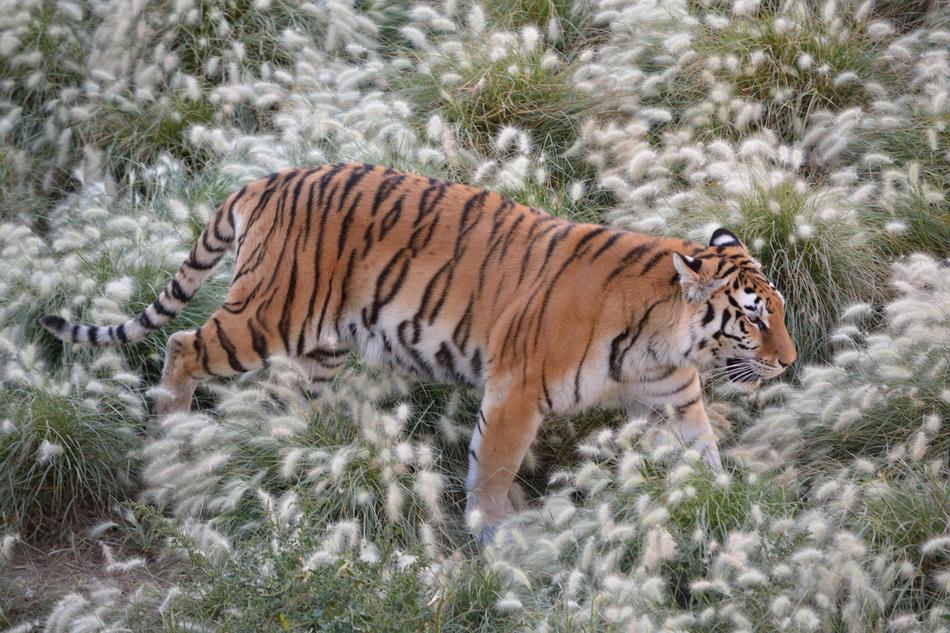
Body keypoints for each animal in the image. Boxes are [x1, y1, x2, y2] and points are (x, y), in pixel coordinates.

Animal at [40, 162, 796, 535]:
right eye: (754, 317)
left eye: (781, 310)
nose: (790, 362)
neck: (665, 339)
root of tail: (269, 179)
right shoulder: (518, 388)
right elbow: (491, 467)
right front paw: (496, 534)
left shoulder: (671, 395)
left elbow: (702, 449)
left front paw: (725, 503)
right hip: (266, 317)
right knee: (181, 344)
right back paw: (170, 437)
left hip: (320, 344)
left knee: (285, 398)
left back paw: (296, 451)